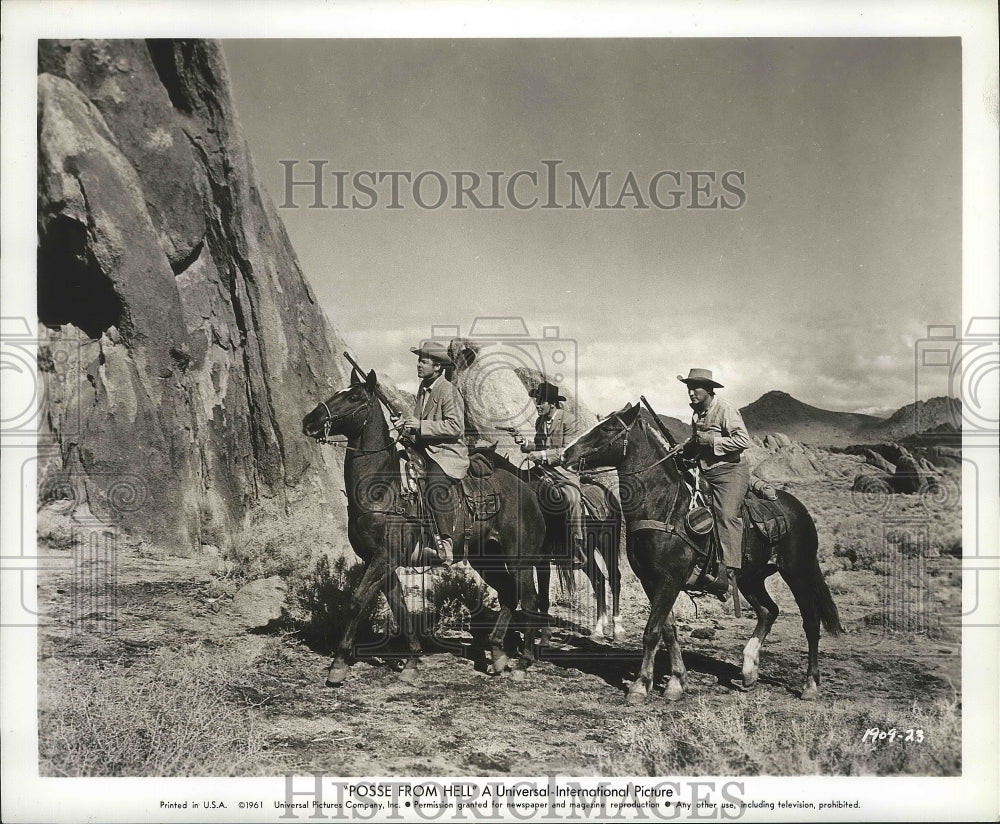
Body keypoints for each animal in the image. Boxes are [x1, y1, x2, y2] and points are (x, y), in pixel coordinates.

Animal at [300, 372, 560, 684]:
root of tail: (529, 489)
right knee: (509, 594)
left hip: (520, 559)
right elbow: (399, 608)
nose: (310, 420)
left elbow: (356, 601)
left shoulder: (383, 558)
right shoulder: (381, 561)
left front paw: (339, 663)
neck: (383, 489)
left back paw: (523, 662)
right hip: (486, 559)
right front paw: (411, 660)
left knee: (529, 601)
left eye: (352, 397)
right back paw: (498, 654)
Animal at [564, 402, 844, 700]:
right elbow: (668, 629)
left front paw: (640, 686)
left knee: (811, 621)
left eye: (607, 428)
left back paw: (810, 684)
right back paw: (748, 671)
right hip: (751, 578)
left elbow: (652, 630)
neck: (665, 506)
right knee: (769, 611)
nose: (566, 453)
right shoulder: (650, 580)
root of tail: (799, 509)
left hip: (797, 572)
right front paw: (677, 681)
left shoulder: (671, 579)